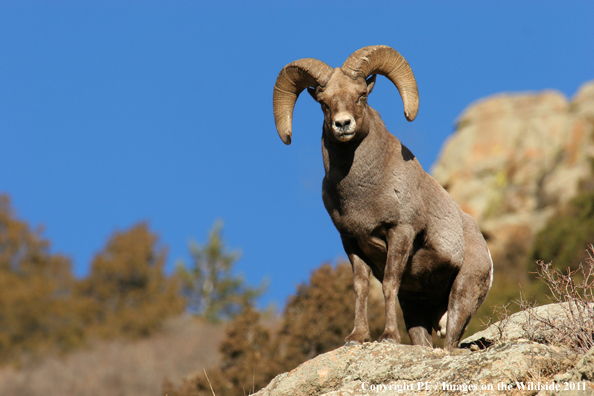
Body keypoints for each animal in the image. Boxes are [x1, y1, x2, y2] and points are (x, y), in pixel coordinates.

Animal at [272, 45, 490, 350]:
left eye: (361, 95)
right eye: (324, 103)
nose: (343, 124)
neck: (363, 191)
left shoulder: (399, 233)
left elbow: (388, 284)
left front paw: (388, 337)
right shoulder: (352, 241)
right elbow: (361, 288)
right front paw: (356, 337)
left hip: (462, 296)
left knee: (450, 342)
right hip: (415, 310)